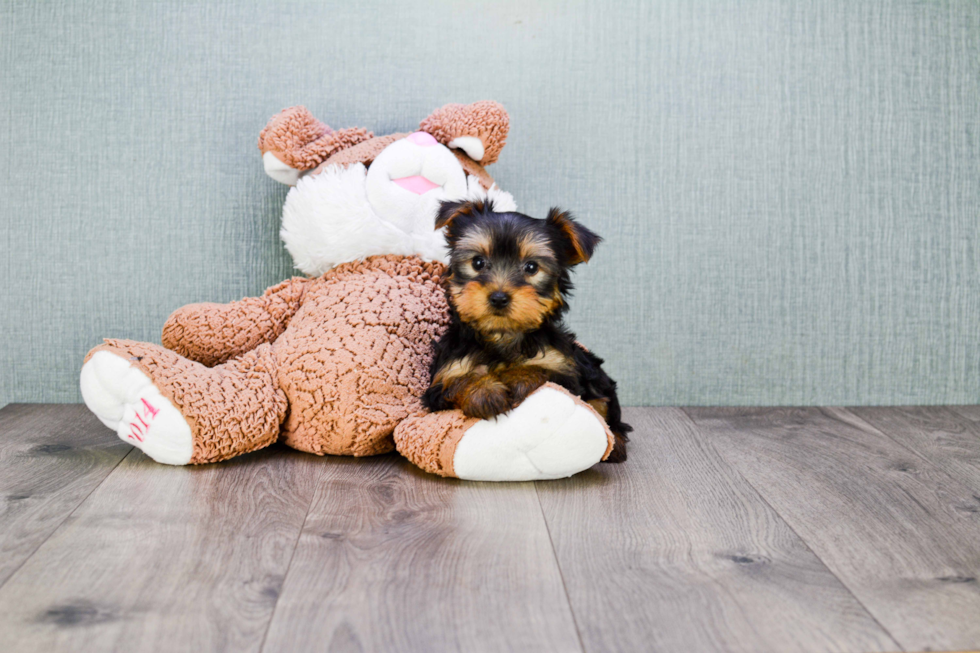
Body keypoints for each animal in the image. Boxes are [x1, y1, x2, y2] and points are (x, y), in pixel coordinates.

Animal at [424, 201, 632, 460]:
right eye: (478, 262)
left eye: (531, 267)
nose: (499, 297)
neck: (503, 336)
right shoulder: (441, 382)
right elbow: (458, 381)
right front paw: (483, 391)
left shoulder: (564, 370)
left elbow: (542, 369)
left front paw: (516, 376)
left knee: (605, 405)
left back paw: (617, 443)